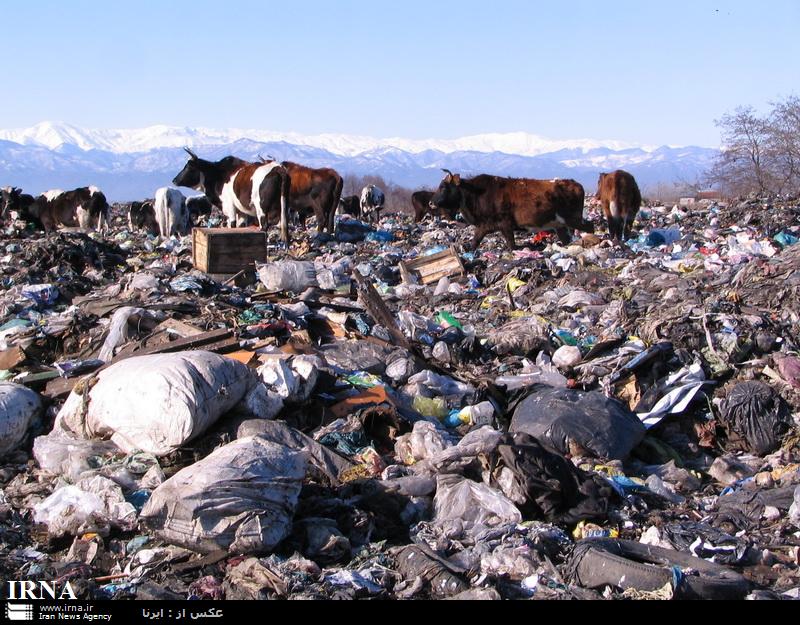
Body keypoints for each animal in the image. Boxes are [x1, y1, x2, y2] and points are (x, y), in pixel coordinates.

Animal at [432, 171, 592, 251]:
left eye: (443, 186)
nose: (431, 202)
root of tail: (574, 183)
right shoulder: (485, 226)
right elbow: (474, 242)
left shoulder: (505, 225)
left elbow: (511, 245)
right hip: (560, 225)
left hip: (573, 219)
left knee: (591, 227)